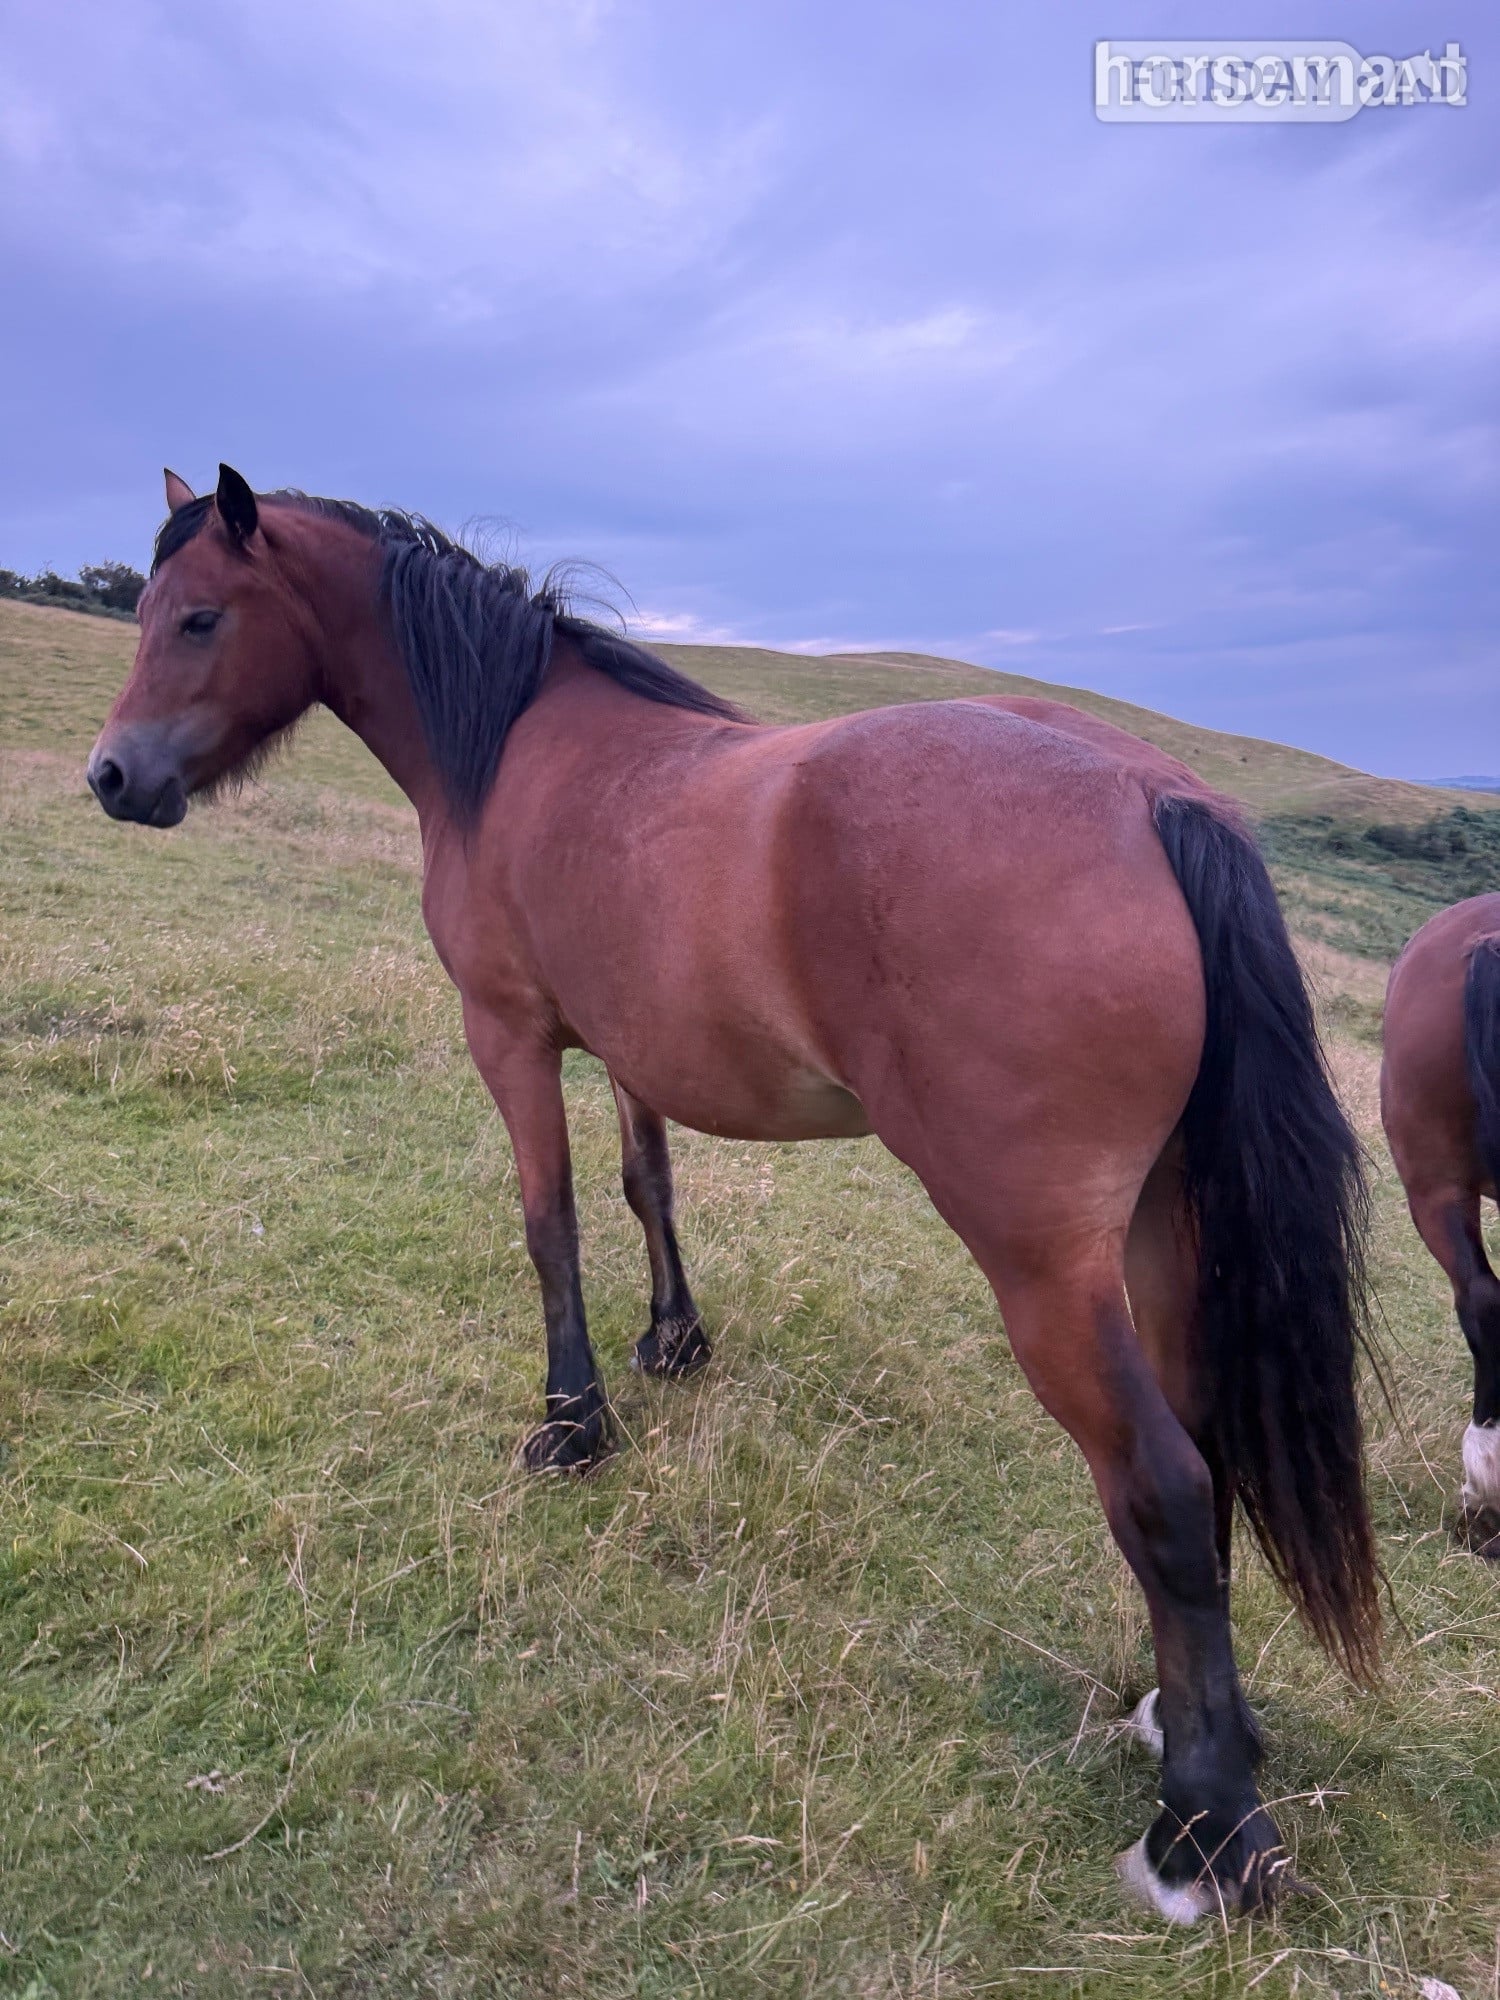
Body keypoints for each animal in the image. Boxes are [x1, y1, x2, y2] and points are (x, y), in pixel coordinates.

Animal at [86, 463, 1380, 1921]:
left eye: (198, 616)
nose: (112, 776)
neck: (520, 747)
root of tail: (1147, 798)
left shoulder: (511, 1036)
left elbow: (550, 1223)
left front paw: (574, 1421)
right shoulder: (628, 1043)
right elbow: (646, 1184)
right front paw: (674, 1340)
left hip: (1047, 1262)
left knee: (1155, 1475)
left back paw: (1206, 1827)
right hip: (1164, 1226)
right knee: (1203, 1450)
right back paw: (1181, 1719)